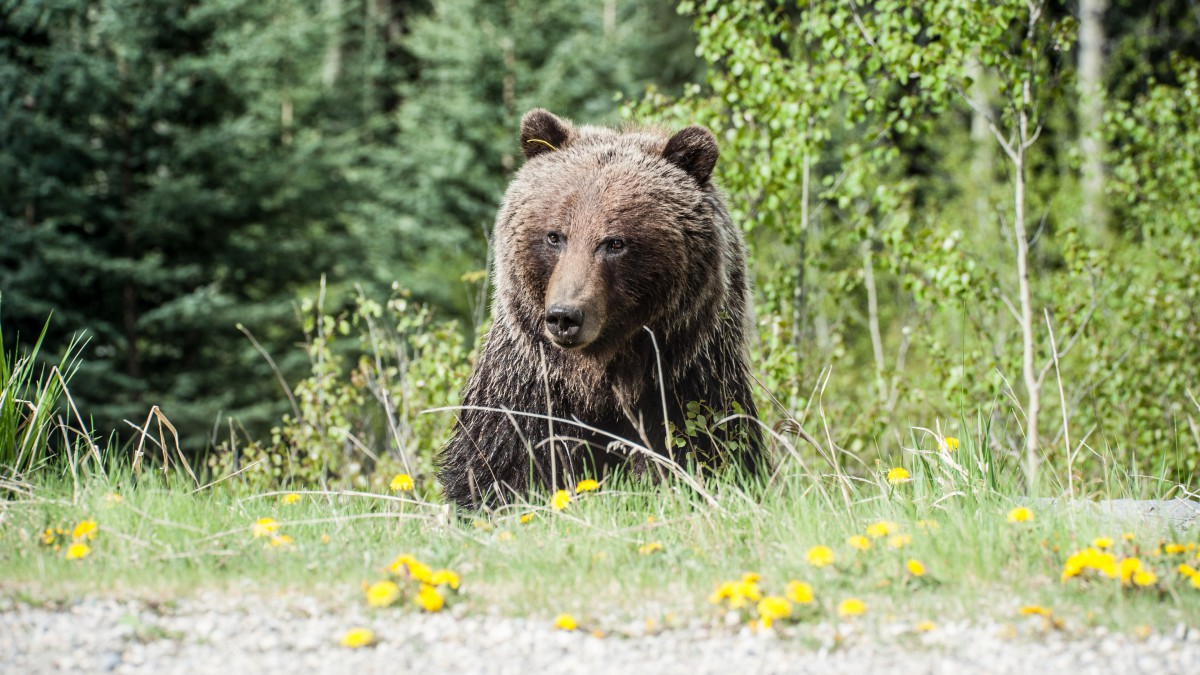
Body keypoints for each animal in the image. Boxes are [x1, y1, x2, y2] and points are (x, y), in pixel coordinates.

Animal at [436, 107, 763, 504]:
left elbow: (703, 450)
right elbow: (500, 464)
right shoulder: (528, 387)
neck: (599, 376)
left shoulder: (686, 382)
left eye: (614, 242)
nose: (564, 316)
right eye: (554, 236)